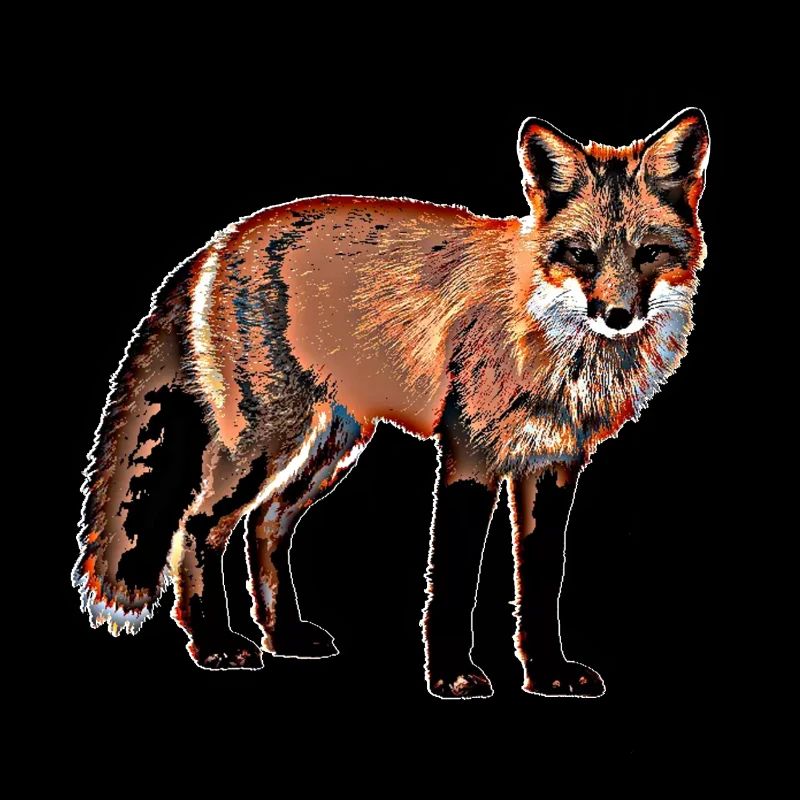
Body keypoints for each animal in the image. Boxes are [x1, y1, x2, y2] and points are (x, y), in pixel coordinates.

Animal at [73, 108, 709, 698]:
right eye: (580, 254)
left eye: (649, 253)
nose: (617, 316)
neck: (554, 345)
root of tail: (221, 241)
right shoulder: (469, 454)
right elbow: (453, 580)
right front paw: (452, 675)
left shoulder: (555, 465)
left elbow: (540, 581)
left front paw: (548, 674)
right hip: (268, 443)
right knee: (196, 525)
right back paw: (213, 645)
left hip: (333, 447)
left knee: (266, 523)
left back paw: (283, 638)